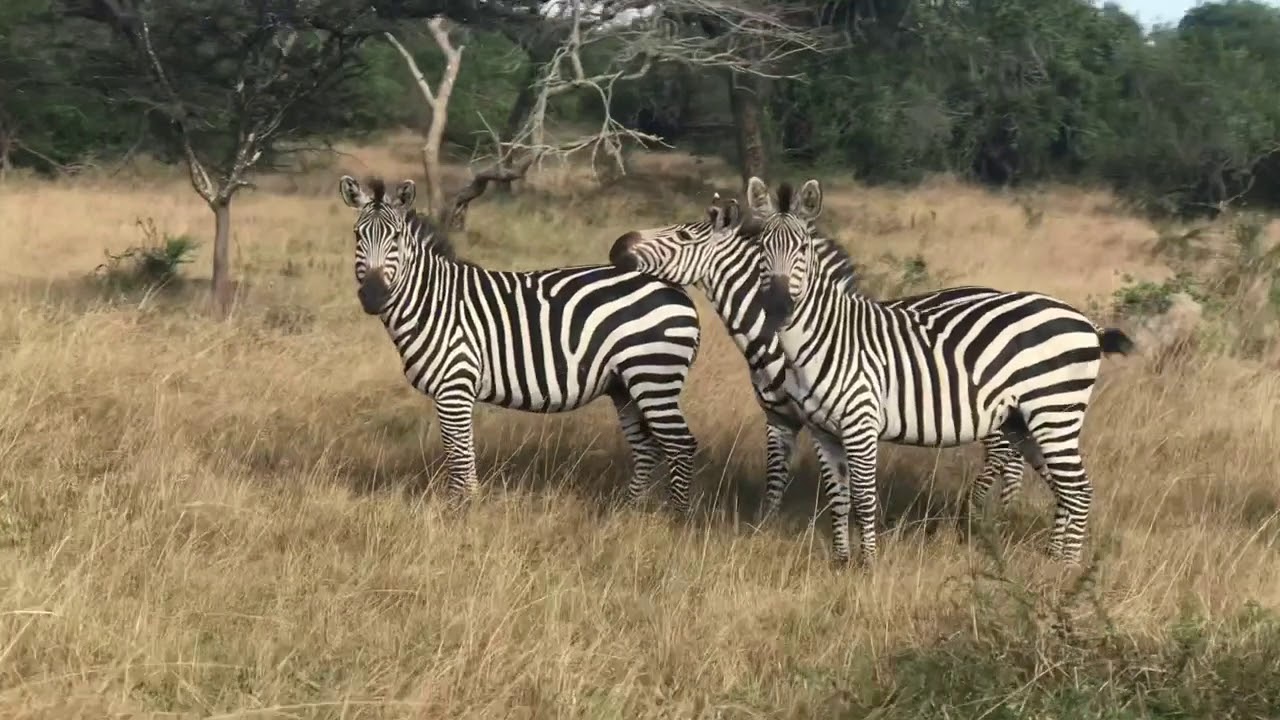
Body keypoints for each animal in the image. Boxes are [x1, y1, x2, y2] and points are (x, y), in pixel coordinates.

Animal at [338, 175, 702, 511]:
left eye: (396, 238)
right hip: (624, 385)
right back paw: (629, 511)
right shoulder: (455, 392)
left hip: (653, 375)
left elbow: (458, 456)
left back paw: (675, 518)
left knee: (680, 444)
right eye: (357, 236)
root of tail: (675, 288)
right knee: (648, 447)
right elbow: (462, 453)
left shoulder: (454, 388)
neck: (433, 302)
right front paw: (468, 506)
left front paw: (461, 511)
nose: (373, 296)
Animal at [608, 194, 1042, 528]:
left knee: (1004, 455)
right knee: (1012, 456)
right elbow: (779, 475)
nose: (616, 246)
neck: (775, 335)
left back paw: (978, 514)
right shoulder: (780, 416)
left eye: (680, 235)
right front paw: (766, 527)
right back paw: (998, 515)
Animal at [742, 175, 1133, 565]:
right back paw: (1053, 557)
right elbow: (839, 498)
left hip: (1054, 413)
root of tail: (1087, 324)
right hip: (1027, 423)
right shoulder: (824, 431)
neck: (826, 336)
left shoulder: (861, 424)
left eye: (803, 249)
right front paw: (841, 562)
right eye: (762, 249)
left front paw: (867, 565)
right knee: (1064, 486)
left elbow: (864, 499)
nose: (777, 307)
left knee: (1078, 489)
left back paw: (1066, 567)